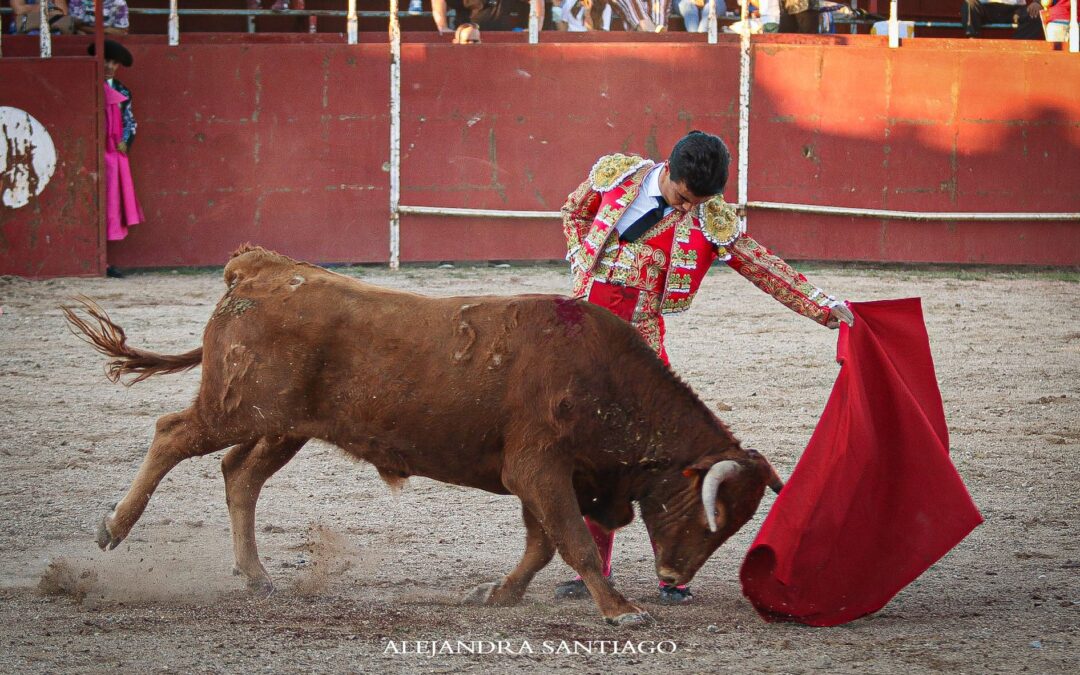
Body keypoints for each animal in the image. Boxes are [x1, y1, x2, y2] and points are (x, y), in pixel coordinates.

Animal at [63, 246, 781, 626]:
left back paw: (258, 576)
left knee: (239, 474)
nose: (674, 575)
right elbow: (572, 541)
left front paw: (497, 593)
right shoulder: (539, 470)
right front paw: (621, 609)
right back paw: (112, 528)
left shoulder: (542, 477)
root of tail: (259, 268)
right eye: (711, 514)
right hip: (235, 408)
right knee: (171, 435)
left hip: (282, 426)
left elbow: (541, 545)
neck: (604, 379)